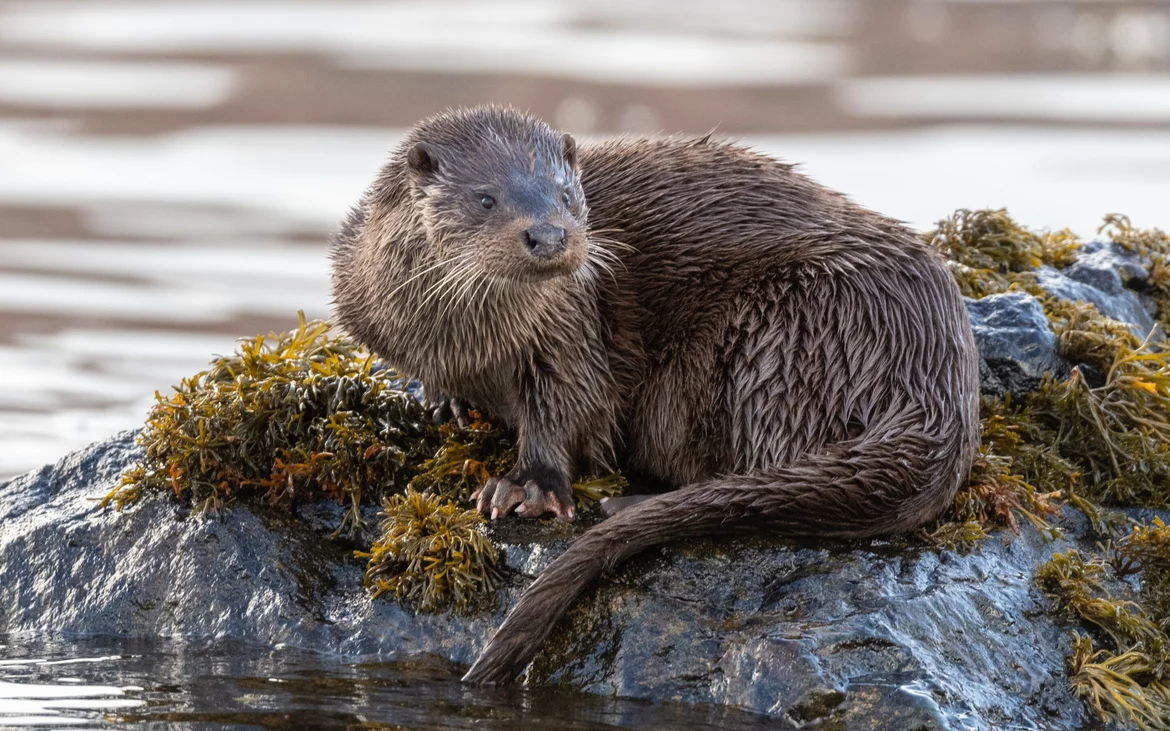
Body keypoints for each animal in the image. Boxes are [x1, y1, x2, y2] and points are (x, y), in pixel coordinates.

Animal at [329, 105, 979, 685]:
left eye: (568, 197)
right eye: (485, 198)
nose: (550, 234)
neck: (464, 344)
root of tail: (937, 381)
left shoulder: (571, 326)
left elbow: (568, 407)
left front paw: (529, 486)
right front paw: (442, 400)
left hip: (788, 333)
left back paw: (633, 501)